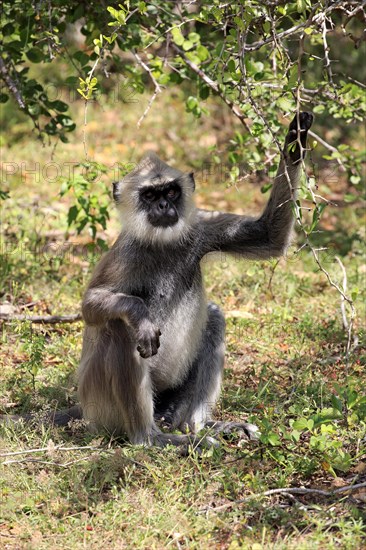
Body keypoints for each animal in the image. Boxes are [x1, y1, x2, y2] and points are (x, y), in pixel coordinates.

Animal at [1, 111, 314, 448]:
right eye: (150, 195)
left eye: (171, 192)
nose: (164, 206)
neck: (161, 243)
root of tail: (82, 407)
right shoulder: (126, 253)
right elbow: (91, 306)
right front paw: (140, 315)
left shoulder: (200, 227)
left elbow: (269, 236)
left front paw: (296, 138)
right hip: (102, 406)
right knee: (119, 327)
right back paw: (150, 438)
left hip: (168, 401)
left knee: (214, 315)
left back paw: (199, 426)